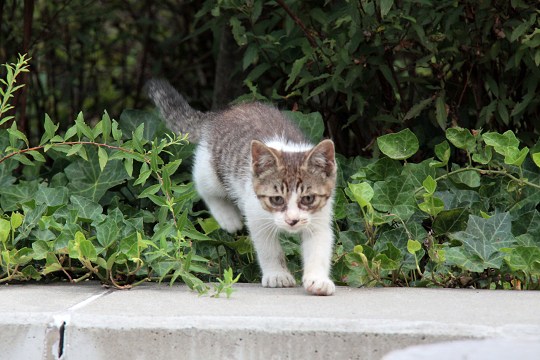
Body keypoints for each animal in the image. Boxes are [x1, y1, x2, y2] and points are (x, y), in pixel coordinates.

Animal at [146, 81, 336, 296]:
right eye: (276, 199)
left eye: (308, 199)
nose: (292, 221)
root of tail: (220, 114)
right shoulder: (256, 214)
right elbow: (269, 249)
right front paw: (277, 274)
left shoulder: (320, 218)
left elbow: (319, 247)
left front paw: (318, 280)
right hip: (210, 168)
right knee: (203, 186)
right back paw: (228, 218)